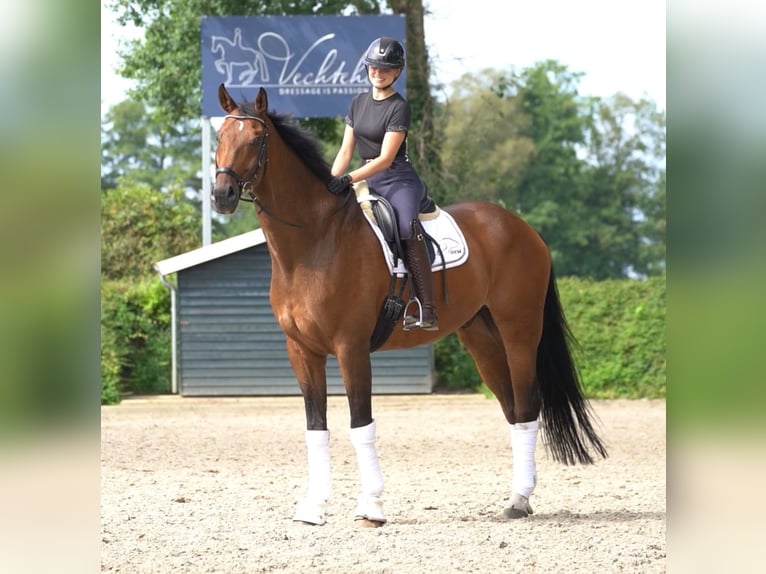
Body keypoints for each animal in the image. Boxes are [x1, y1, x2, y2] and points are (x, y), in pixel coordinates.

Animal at [213, 83, 608, 528]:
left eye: (256, 139)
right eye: (220, 137)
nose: (222, 195)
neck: (315, 241)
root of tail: (524, 229)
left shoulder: (351, 348)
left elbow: (360, 424)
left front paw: (371, 506)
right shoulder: (302, 351)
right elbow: (317, 428)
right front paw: (313, 508)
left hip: (519, 334)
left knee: (526, 407)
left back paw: (519, 501)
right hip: (483, 341)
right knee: (511, 409)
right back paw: (517, 497)